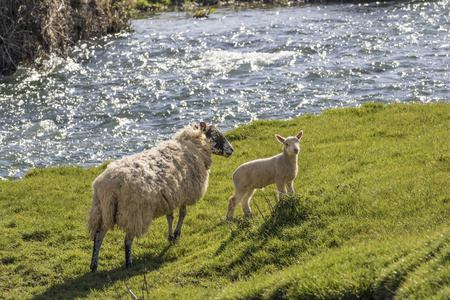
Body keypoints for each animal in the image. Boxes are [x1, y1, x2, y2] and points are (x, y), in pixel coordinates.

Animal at [89, 121, 234, 272]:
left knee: (99, 235)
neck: (194, 146)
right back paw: (129, 263)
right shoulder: (184, 193)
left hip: (103, 210)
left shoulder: (170, 195)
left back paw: (94, 265)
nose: (232, 149)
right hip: (134, 212)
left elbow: (170, 216)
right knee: (127, 239)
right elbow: (183, 213)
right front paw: (177, 234)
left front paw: (170, 236)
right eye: (215, 134)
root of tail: (110, 183)